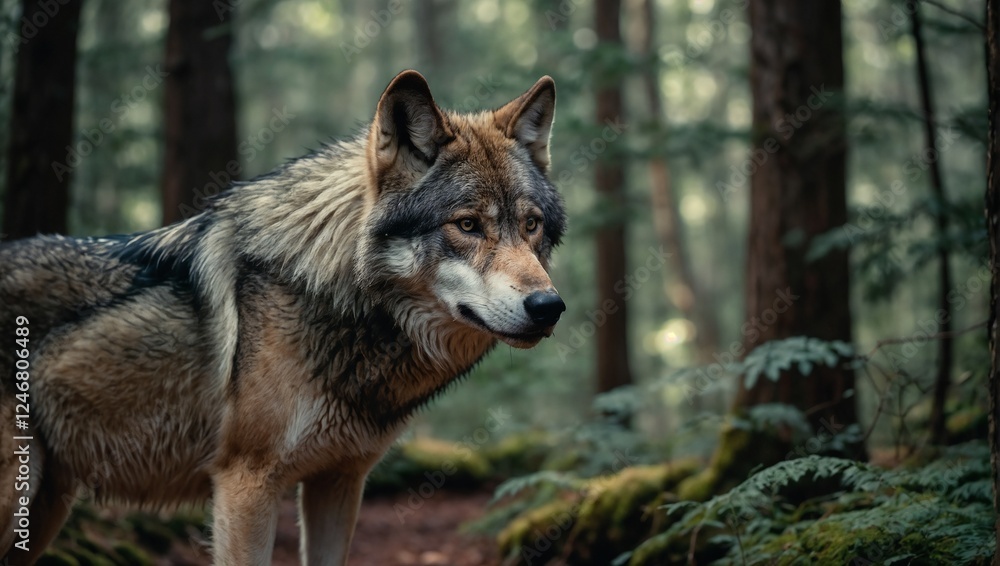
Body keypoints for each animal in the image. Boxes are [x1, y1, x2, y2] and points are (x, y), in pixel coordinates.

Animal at [0, 69, 566, 565]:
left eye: (531, 225)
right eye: (467, 225)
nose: (549, 306)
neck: (331, 295)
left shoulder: (339, 480)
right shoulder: (245, 483)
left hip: (44, 508)